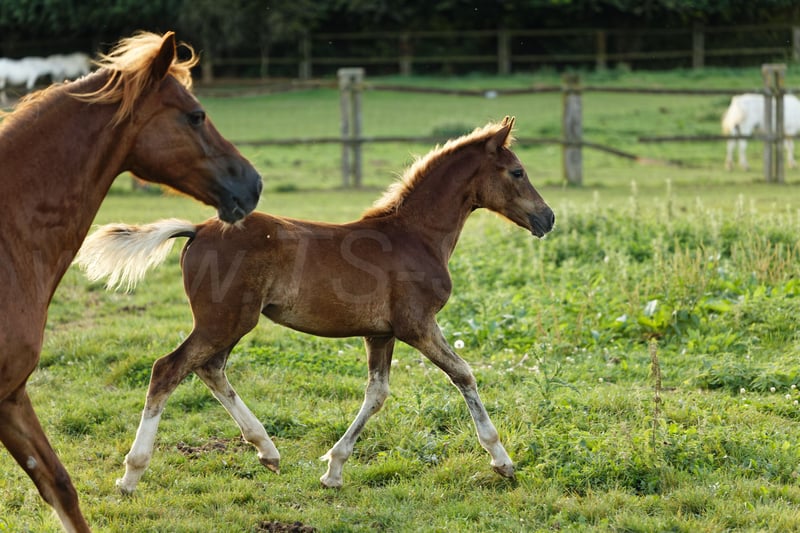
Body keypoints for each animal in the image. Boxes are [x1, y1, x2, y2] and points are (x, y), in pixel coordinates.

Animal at [76, 116, 555, 493]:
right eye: (517, 171)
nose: (547, 218)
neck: (415, 236)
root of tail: (197, 229)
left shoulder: (380, 333)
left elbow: (377, 394)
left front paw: (334, 470)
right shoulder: (417, 325)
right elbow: (464, 374)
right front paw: (502, 461)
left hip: (230, 322)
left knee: (209, 369)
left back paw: (267, 451)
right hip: (223, 320)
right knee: (168, 369)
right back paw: (131, 475)